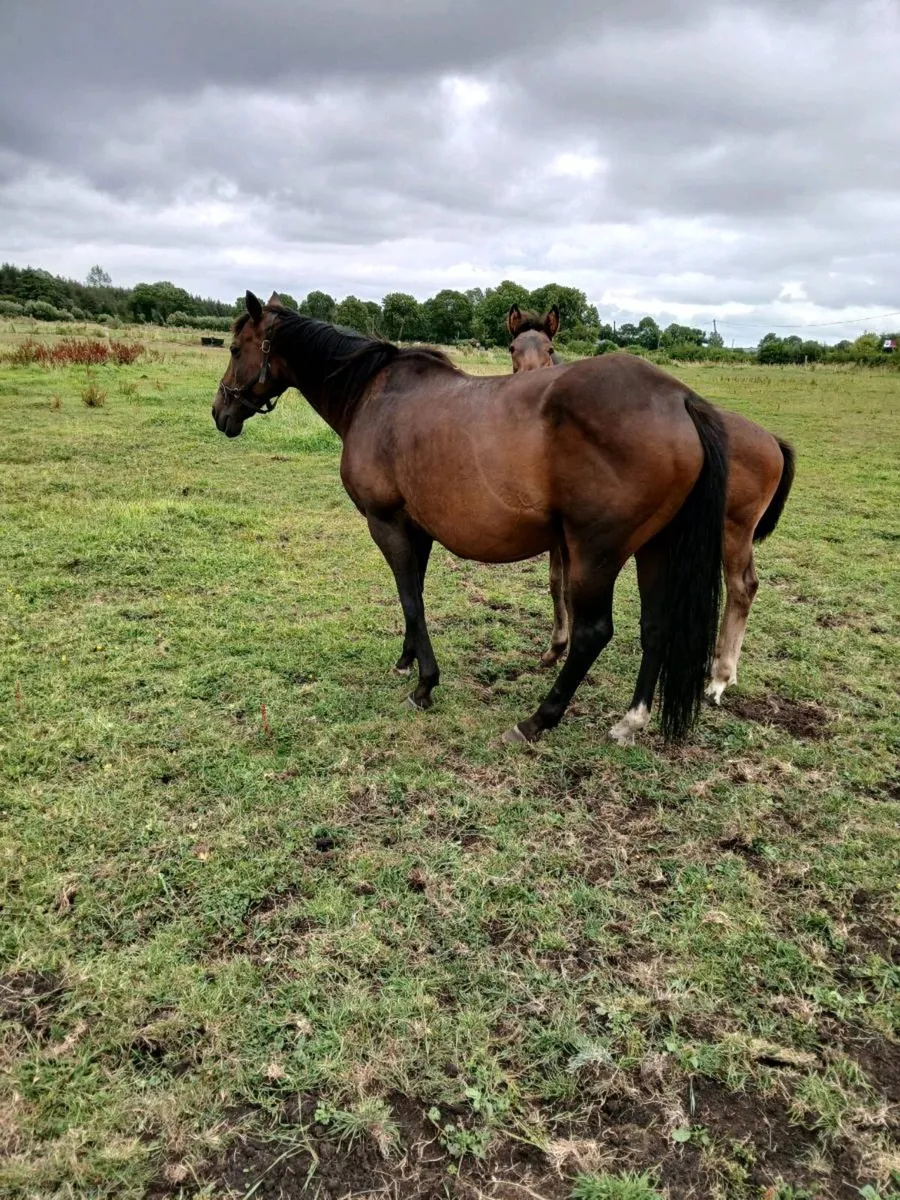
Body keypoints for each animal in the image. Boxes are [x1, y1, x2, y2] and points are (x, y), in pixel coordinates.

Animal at [212, 290, 729, 745]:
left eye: (235, 348)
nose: (220, 412)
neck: (373, 395)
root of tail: (680, 399)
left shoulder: (386, 523)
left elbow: (411, 599)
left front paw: (424, 685)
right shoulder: (416, 528)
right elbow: (414, 596)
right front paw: (406, 661)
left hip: (595, 555)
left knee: (592, 634)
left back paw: (537, 720)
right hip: (653, 548)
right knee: (656, 627)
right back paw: (630, 721)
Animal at [505, 304, 796, 744]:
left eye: (550, 348)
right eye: (513, 348)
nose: (526, 384)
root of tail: (771, 440)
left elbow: (560, 586)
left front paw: (556, 648)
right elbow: (560, 584)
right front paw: (558, 647)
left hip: (734, 532)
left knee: (742, 587)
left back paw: (719, 678)